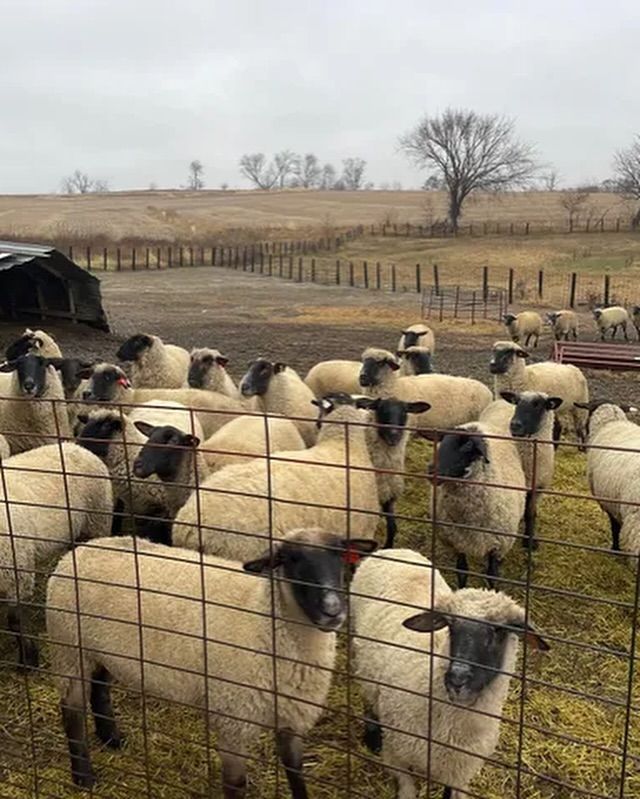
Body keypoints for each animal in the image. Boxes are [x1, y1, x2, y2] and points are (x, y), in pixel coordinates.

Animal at [46, 529, 377, 793]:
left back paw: (112, 739)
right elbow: (235, 785)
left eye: (340, 557)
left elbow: (296, 774)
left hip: (100, 649)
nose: (333, 609)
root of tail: (82, 549)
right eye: (288, 559)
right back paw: (84, 777)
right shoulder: (233, 719)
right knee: (72, 711)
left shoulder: (292, 717)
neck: (264, 618)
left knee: (100, 688)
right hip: (69, 648)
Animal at [351, 548, 549, 799]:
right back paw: (371, 737)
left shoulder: (458, 770)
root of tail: (392, 550)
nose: (457, 679)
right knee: (367, 697)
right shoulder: (397, 755)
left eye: (499, 630)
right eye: (451, 626)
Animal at [355, 396, 431, 549]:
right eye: (382, 409)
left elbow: (392, 527)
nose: (394, 436)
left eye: (404, 412)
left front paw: (387, 547)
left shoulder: (389, 493)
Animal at [429, 421, 526, 587]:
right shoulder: (458, 542)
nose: (431, 471)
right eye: (442, 442)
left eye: (468, 445)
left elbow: (492, 575)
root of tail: (477, 425)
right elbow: (462, 572)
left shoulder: (497, 545)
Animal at [481, 391, 561, 549]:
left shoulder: (539, 487)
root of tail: (500, 400)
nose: (515, 425)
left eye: (538, 404)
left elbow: (531, 513)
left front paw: (530, 540)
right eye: (517, 402)